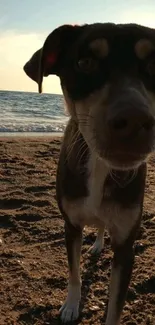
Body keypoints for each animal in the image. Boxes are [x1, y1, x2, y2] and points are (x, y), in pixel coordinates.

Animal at [23, 22, 155, 322]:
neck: (100, 166)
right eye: (84, 63)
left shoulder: (126, 246)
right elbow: (74, 273)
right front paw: (71, 306)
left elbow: (115, 308)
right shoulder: (71, 225)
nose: (135, 121)